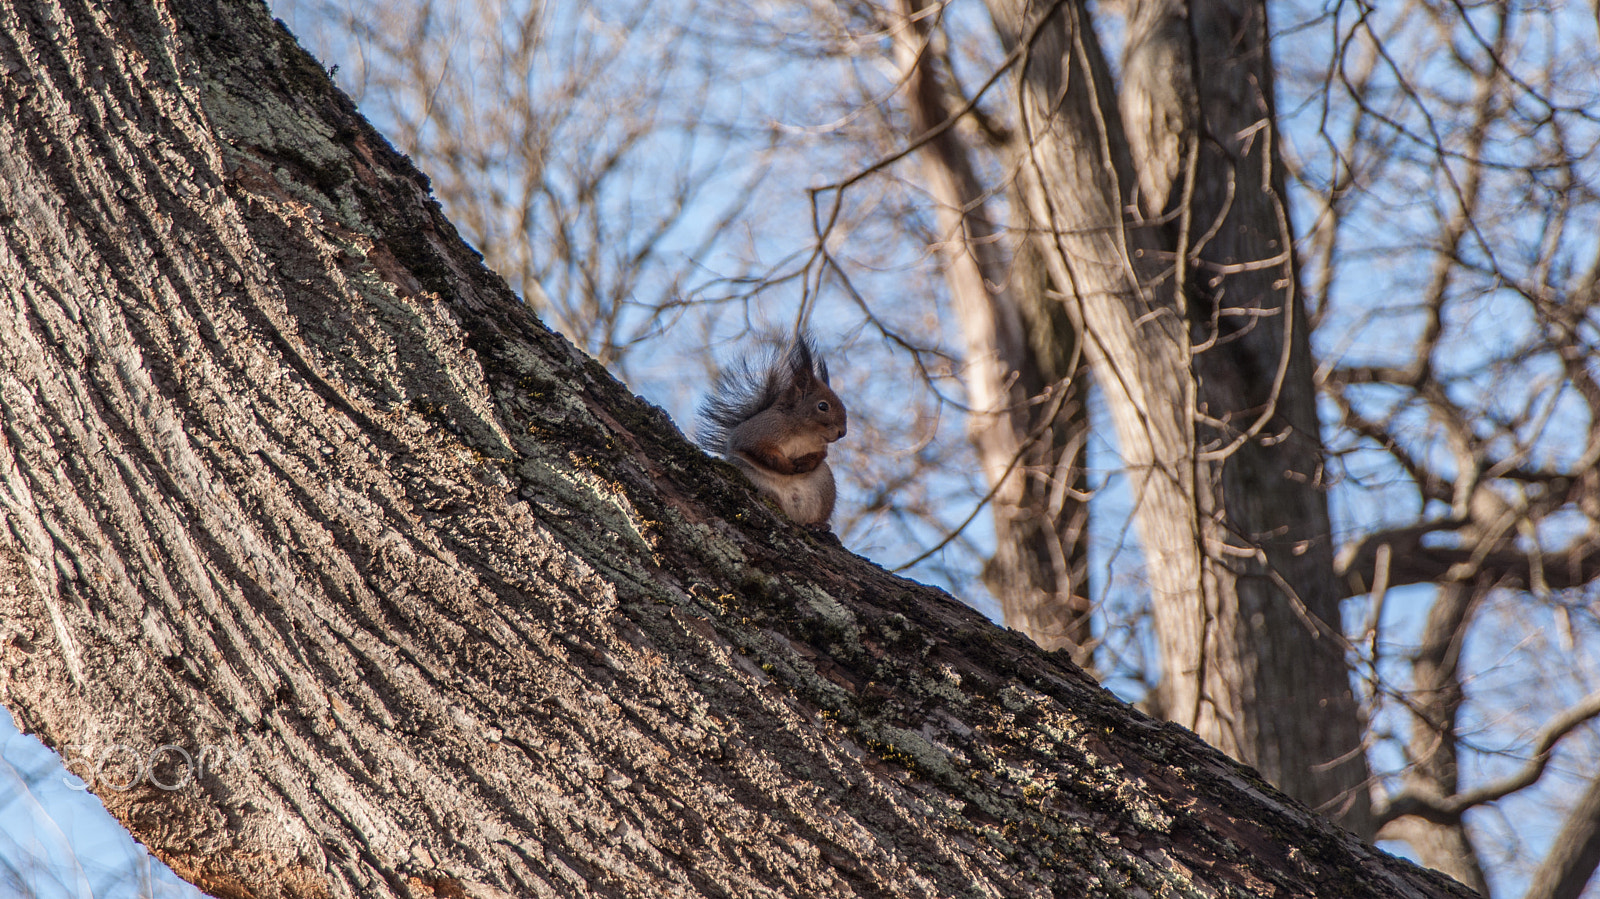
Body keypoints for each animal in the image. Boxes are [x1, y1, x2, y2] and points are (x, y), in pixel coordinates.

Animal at [700, 334, 851, 524]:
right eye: (823, 406)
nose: (842, 432)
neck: (804, 432)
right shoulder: (758, 433)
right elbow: (762, 451)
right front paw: (787, 466)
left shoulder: (819, 447)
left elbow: (820, 455)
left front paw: (804, 463)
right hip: (750, 475)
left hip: (824, 484)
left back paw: (817, 525)